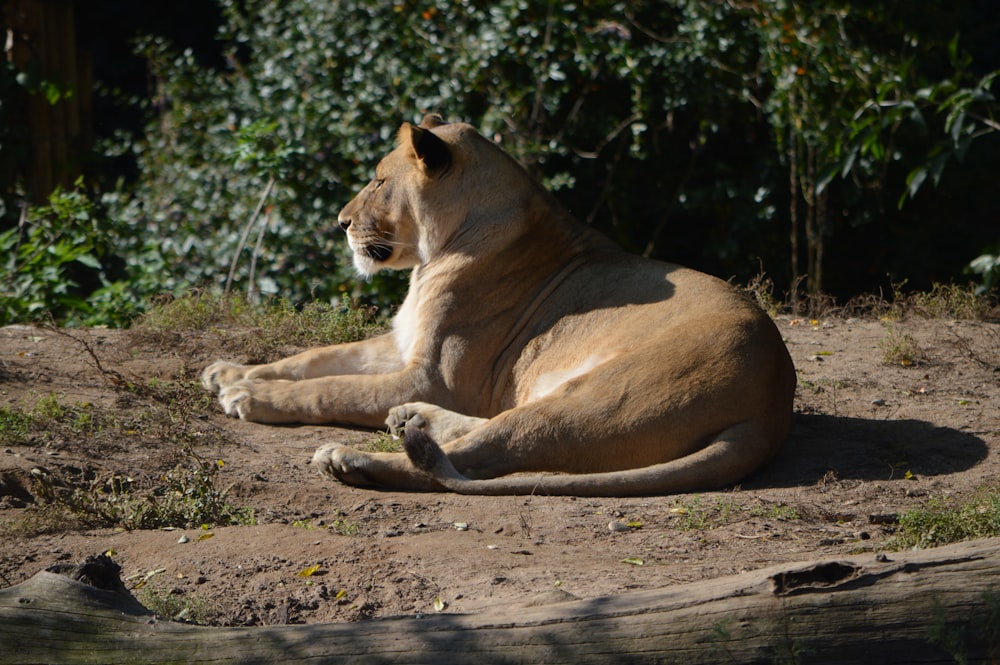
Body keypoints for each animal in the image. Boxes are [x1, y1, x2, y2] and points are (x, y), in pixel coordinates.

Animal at [203, 116, 796, 496]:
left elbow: (331, 388)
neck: (435, 253)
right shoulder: (403, 344)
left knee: (474, 458)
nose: (341, 222)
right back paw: (411, 420)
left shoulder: (432, 375)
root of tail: (773, 405)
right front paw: (228, 371)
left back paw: (351, 460)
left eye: (378, 181)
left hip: (594, 399)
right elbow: (316, 358)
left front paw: (249, 396)